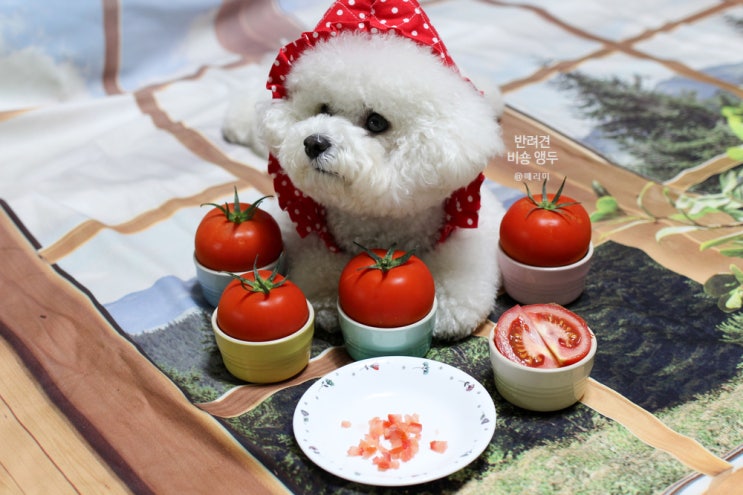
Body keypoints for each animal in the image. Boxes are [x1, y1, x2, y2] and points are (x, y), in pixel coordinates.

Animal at [224, 0, 508, 340]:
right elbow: (321, 270)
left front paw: (448, 306)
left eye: (375, 121)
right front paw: (326, 300)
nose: (314, 143)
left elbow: (458, 274)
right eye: (323, 109)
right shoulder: (314, 237)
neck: (377, 218)